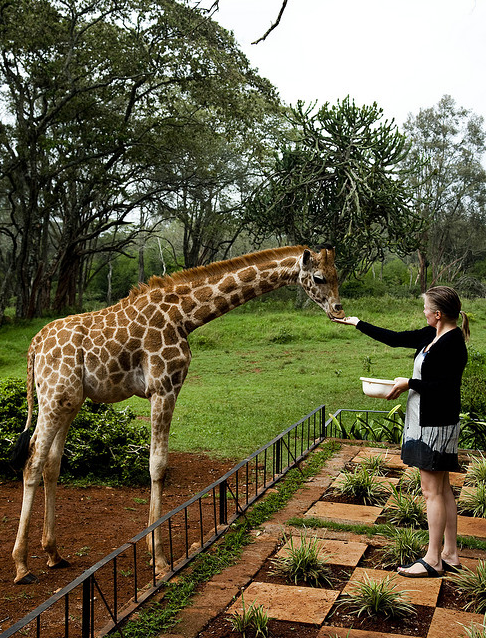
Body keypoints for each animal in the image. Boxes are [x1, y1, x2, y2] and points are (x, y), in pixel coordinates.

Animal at [11, 245, 346, 584]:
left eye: (338, 275)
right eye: (319, 277)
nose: (338, 309)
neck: (184, 316)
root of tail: (34, 345)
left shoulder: (164, 389)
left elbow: (155, 465)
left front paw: (151, 550)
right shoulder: (163, 387)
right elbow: (157, 465)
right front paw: (159, 558)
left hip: (70, 401)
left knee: (51, 463)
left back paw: (53, 554)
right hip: (54, 396)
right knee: (33, 459)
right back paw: (22, 565)